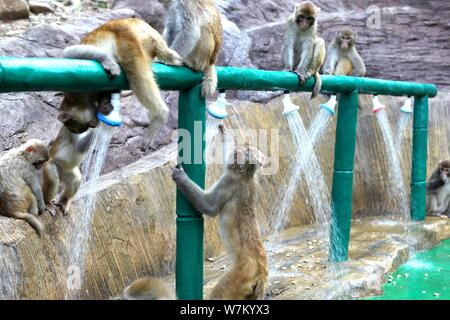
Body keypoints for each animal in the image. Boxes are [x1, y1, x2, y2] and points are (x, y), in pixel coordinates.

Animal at [59, 18, 183, 149]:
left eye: (80, 128)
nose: (92, 126)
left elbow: (70, 52)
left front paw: (109, 63)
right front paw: (105, 106)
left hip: (126, 37)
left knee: (137, 74)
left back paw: (160, 114)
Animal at [171, 145, 268, 300]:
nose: (235, 149)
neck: (245, 176)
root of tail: (260, 273)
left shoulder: (227, 182)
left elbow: (208, 206)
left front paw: (180, 176)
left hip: (238, 279)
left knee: (220, 292)